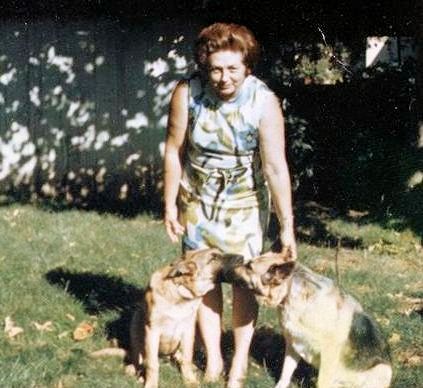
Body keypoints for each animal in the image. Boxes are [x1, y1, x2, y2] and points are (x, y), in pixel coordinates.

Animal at [127, 249, 237, 388]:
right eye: (213, 258)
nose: (241, 258)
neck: (180, 294)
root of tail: (165, 357)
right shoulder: (152, 330)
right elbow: (152, 364)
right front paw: (151, 384)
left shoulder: (188, 330)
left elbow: (187, 359)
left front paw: (189, 380)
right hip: (135, 322)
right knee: (140, 359)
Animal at [225, 250, 394, 386]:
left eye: (249, 267)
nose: (229, 265)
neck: (289, 292)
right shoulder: (293, 344)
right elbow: (286, 372)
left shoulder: (329, 353)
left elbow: (322, 382)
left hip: (383, 369)